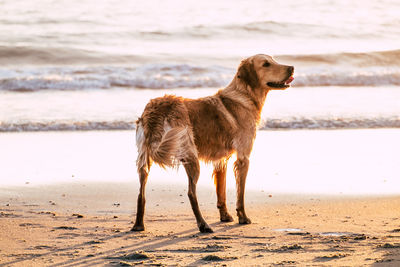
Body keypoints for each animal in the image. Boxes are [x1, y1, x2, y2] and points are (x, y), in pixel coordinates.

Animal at [131, 55, 294, 234]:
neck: (245, 95)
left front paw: (225, 216)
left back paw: (138, 225)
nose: (292, 68)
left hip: (144, 158)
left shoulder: (221, 159)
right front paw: (242, 217)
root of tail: (156, 110)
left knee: (141, 194)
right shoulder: (243, 158)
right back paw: (203, 225)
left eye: (274, 60)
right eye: (266, 64)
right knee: (191, 193)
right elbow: (240, 194)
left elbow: (221, 191)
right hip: (190, 155)